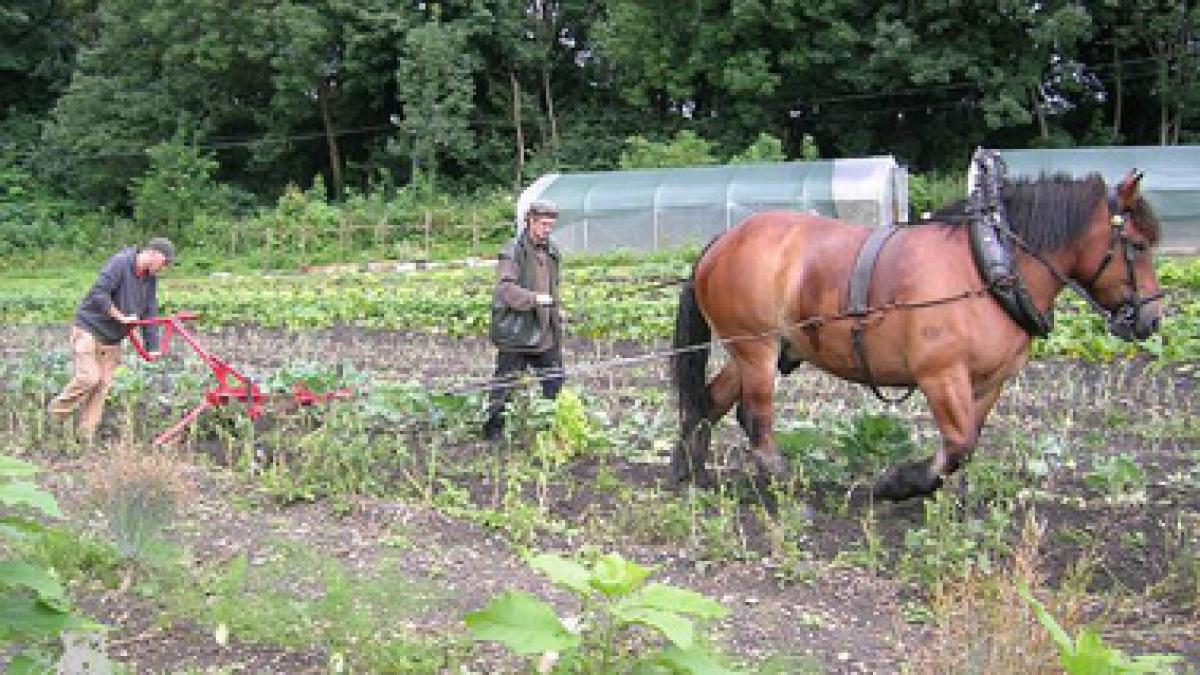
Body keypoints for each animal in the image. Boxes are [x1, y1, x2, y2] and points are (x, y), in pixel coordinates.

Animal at [676, 168, 1161, 499]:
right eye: (1137, 245)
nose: (1152, 319)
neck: (987, 268)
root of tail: (723, 241)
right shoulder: (941, 375)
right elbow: (959, 442)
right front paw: (899, 481)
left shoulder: (988, 383)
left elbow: (966, 447)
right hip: (755, 346)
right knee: (757, 418)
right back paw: (782, 482)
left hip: (766, 349)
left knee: (709, 402)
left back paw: (690, 473)